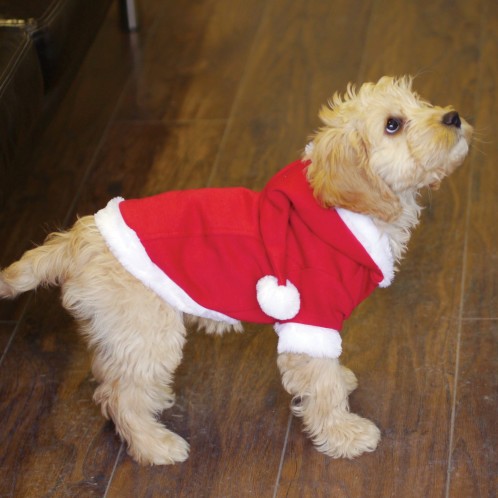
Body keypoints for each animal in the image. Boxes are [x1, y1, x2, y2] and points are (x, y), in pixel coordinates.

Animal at [0, 76, 472, 464]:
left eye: (419, 101)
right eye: (393, 124)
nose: (454, 116)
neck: (338, 214)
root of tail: (80, 236)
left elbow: (328, 370)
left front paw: (342, 383)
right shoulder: (311, 317)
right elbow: (321, 385)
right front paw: (345, 434)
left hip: (122, 331)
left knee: (108, 375)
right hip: (148, 330)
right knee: (119, 395)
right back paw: (154, 445)